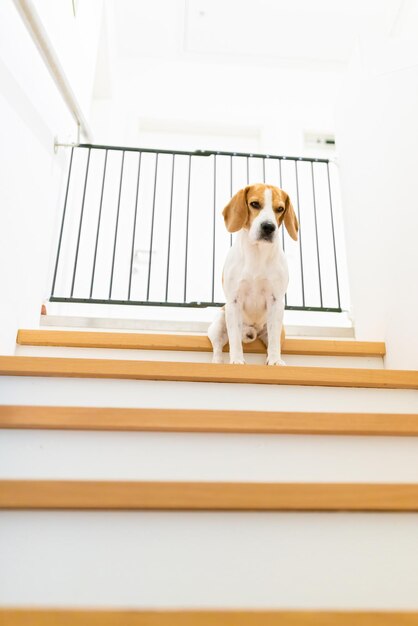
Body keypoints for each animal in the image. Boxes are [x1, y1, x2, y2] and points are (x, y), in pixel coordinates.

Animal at [207, 183, 298, 364]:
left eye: (280, 208)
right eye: (255, 204)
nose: (268, 227)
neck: (258, 253)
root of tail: (251, 330)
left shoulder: (276, 301)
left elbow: (274, 343)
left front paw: (275, 361)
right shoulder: (234, 301)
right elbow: (234, 339)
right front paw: (236, 360)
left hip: (279, 329)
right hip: (218, 323)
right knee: (218, 346)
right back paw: (217, 362)